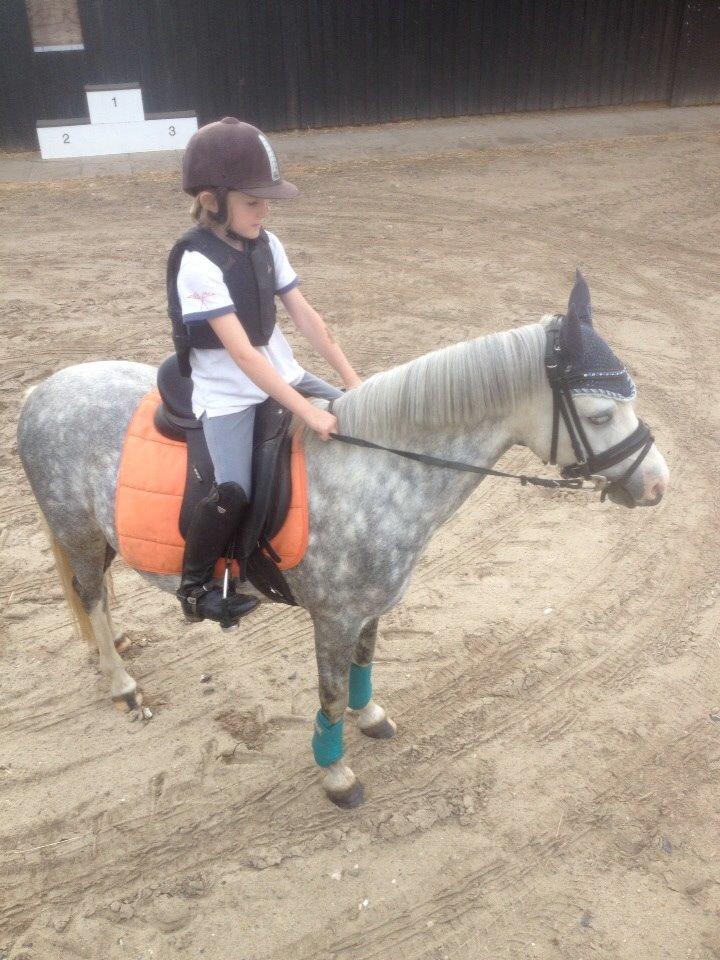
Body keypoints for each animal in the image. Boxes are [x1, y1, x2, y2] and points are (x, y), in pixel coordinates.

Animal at [17, 275, 669, 807]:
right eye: (601, 415)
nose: (659, 483)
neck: (379, 466)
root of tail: (41, 391)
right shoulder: (333, 616)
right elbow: (329, 695)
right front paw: (336, 774)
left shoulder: (371, 606)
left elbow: (365, 663)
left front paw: (371, 714)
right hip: (76, 530)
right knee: (90, 594)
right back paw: (122, 684)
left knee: (97, 593)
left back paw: (116, 649)